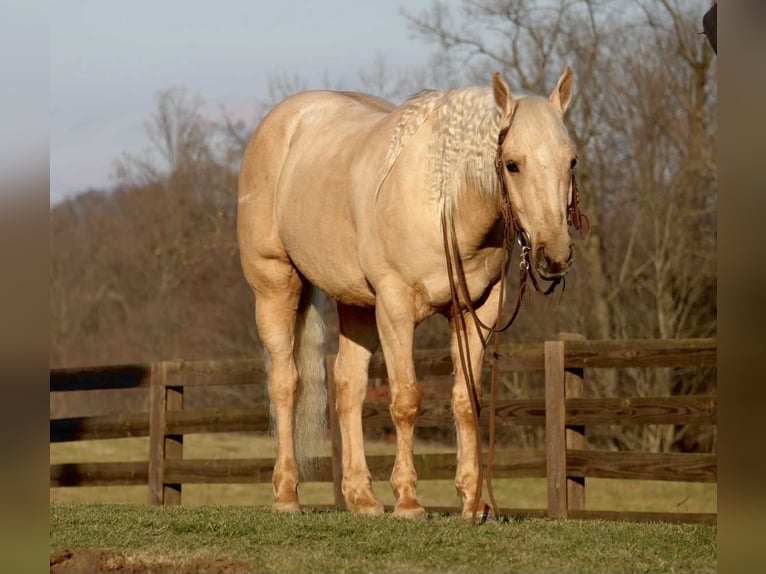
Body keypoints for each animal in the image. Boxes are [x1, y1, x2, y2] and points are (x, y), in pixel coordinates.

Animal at [238, 67, 580, 519]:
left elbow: (466, 401)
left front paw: (473, 502)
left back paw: (362, 498)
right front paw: (408, 500)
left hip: (355, 304)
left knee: (348, 386)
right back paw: (287, 495)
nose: (554, 255)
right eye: (513, 164)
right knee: (285, 383)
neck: (443, 203)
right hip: (276, 285)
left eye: (571, 160)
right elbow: (406, 399)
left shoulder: (476, 313)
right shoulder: (395, 308)